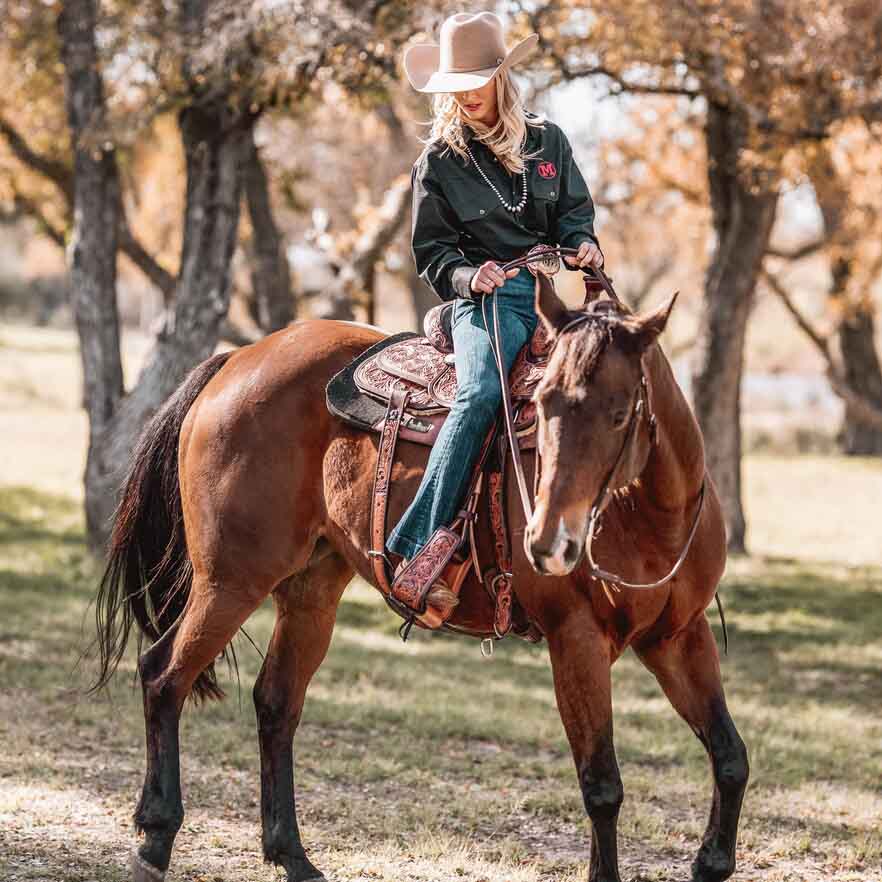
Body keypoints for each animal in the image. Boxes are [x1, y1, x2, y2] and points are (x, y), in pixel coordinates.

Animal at [94, 274, 744, 880]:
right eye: (545, 403)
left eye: (619, 413)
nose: (547, 542)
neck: (652, 512)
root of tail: (239, 359)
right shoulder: (577, 640)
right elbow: (602, 784)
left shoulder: (678, 638)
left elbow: (730, 755)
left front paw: (712, 862)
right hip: (230, 581)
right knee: (164, 676)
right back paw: (155, 840)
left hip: (310, 593)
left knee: (276, 702)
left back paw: (292, 856)